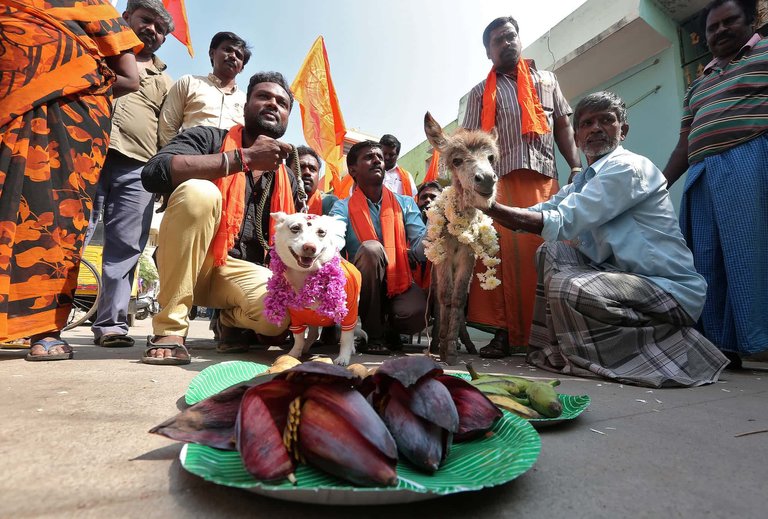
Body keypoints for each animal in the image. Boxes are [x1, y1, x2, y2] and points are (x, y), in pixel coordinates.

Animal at [268, 211, 362, 366]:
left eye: (321, 232)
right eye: (295, 228)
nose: (309, 247)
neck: (305, 275)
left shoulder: (349, 312)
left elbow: (346, 337)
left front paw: (343, 357)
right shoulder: (296, 316)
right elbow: (299, 337)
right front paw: (294, 353)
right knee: (313, 333)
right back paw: (306, 347)